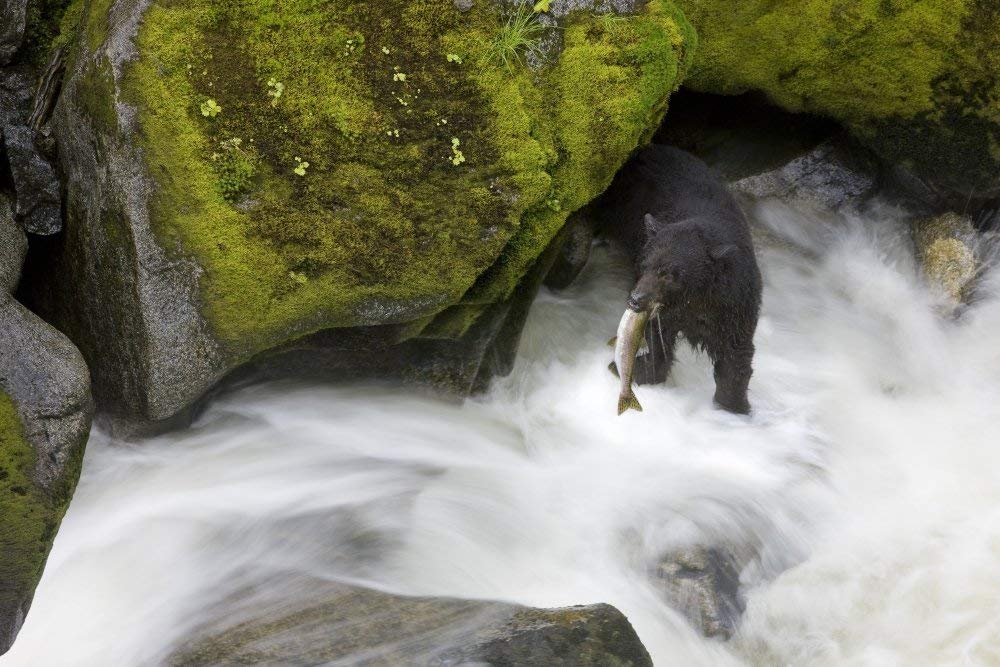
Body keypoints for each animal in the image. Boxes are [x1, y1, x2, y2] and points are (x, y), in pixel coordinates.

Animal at [596, 146, 760, 414]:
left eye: (669, 274)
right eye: (644, 265)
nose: (635, 300)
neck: (695, 299)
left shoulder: (735, 303)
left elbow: (735, 353)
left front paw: (734, 406)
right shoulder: (665, 311)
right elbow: (657, 335)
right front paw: (642, 370)